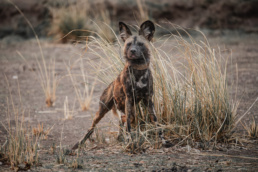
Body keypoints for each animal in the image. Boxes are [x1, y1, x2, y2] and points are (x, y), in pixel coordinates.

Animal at [72, 19, 167, 149]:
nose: (132, 51)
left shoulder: (148, 100)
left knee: (122, 122)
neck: (138, 70)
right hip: (102, 110)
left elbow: (157, 123)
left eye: (140, 44)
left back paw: (120, 138)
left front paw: (163, 141)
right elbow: (129, 127)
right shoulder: (129, 98)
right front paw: (131, 142)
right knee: (92, 127)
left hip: (130, 111)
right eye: (129, 44)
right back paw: (79, 144)